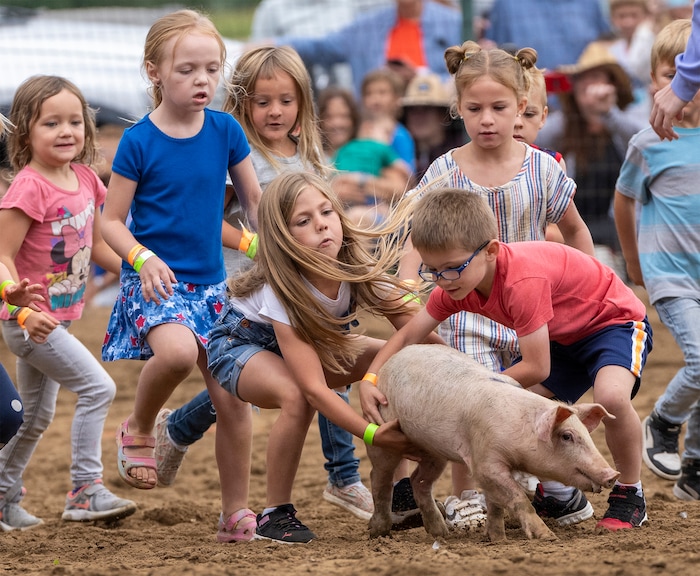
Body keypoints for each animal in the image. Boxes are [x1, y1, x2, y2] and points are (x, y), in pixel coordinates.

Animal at [366, 344, 616, 544]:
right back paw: (378, 533)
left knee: (419, 480)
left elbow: (496, 504)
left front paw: (497, 539)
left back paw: (441, 534)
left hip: (434, 451)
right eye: (566, 436)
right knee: (379, 479)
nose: (613, 474)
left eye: (586, 434)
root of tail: (391, 359)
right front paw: (548, 537)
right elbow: (517, 498)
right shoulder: (485, 461)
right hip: (383, 436)